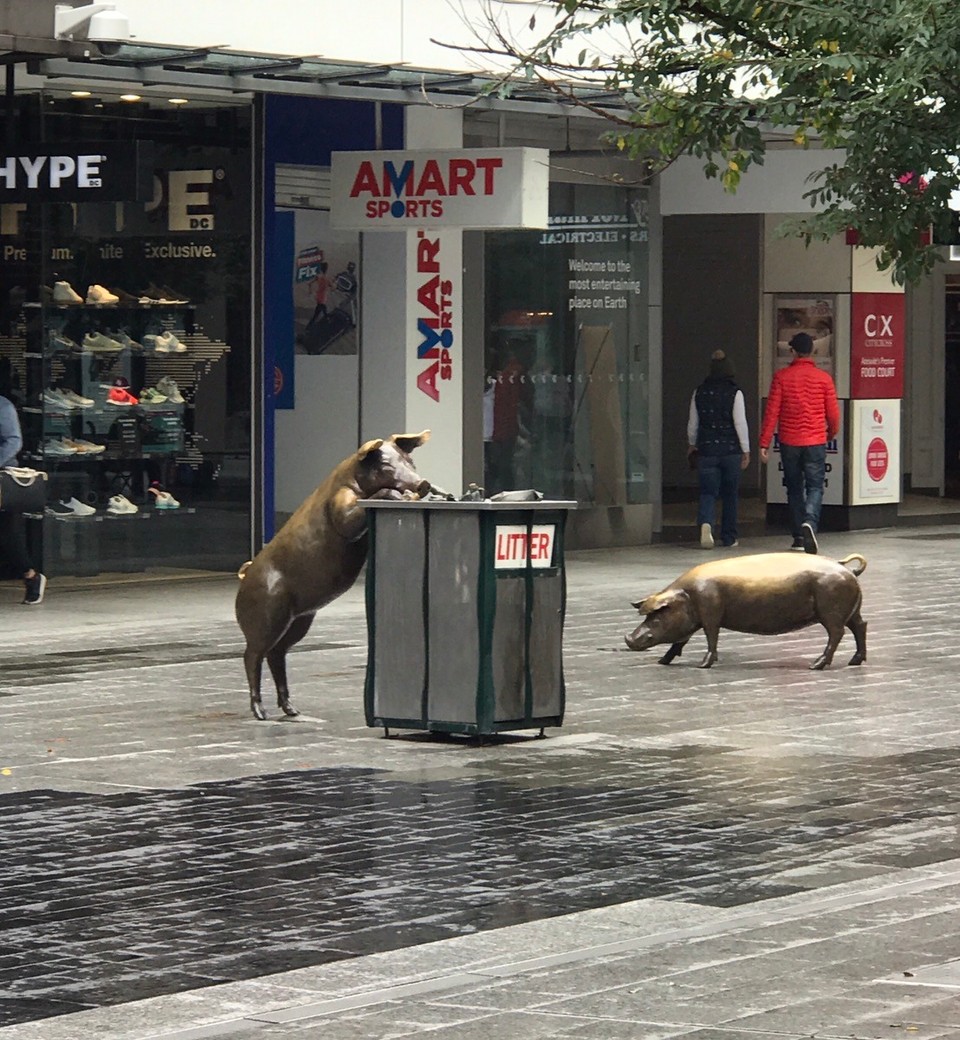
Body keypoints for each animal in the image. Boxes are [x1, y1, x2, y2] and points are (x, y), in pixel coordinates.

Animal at [238, 428, 432, 715]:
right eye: (386, 466)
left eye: (410, 461)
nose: (423, 484)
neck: (353, 478)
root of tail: (244, 578)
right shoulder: (340, 502)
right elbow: (348, 521)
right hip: (267, 614)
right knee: (252, 655)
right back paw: (260, 713)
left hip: (299, 619)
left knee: (276, 654)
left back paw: (292, 711)